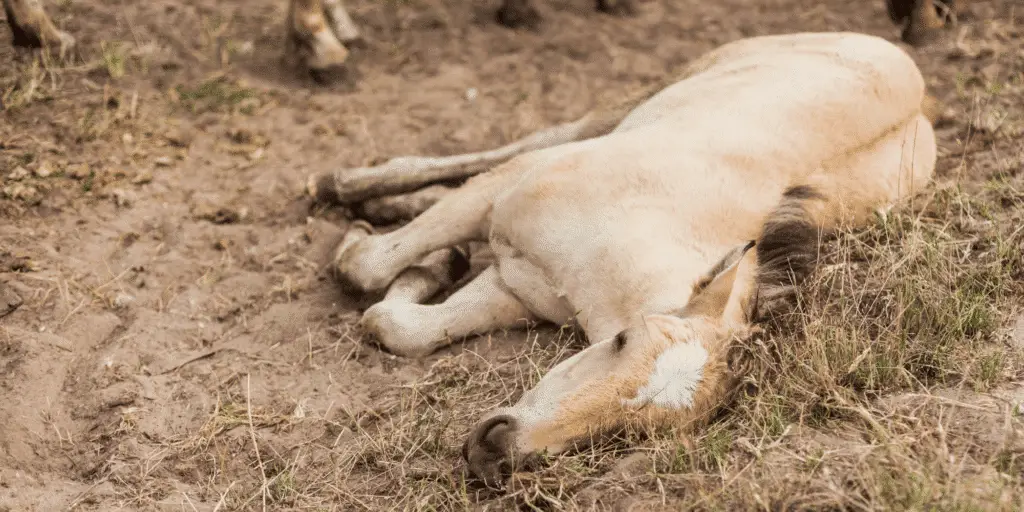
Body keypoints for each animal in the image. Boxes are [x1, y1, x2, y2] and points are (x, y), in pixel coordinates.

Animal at [325, 32, 937, 483]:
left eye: (628, 433)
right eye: (621, 342)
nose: (495, 448)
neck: (615, 238)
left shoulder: (515, 288)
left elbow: (399, 325)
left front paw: (434, 267)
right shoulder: (496, 201)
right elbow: (368, 267)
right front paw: (375, 240)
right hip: (638, 100)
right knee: (528, 143)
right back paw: (347, 185)